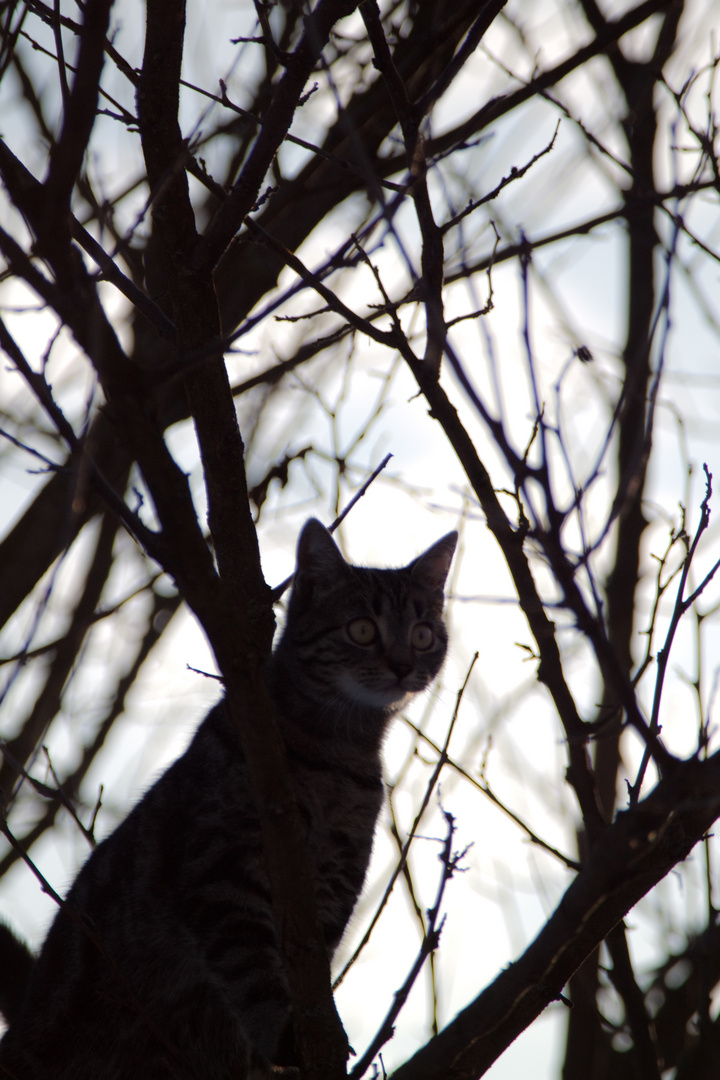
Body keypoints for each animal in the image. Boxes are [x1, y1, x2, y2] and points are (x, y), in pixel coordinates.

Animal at [0, 518, 455, 1075]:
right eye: (363, 630)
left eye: (422, 634)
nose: (404, 665)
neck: (338, 752)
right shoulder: (223, 870)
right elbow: (252, 971)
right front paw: (282, 1036)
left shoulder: (334, 887)